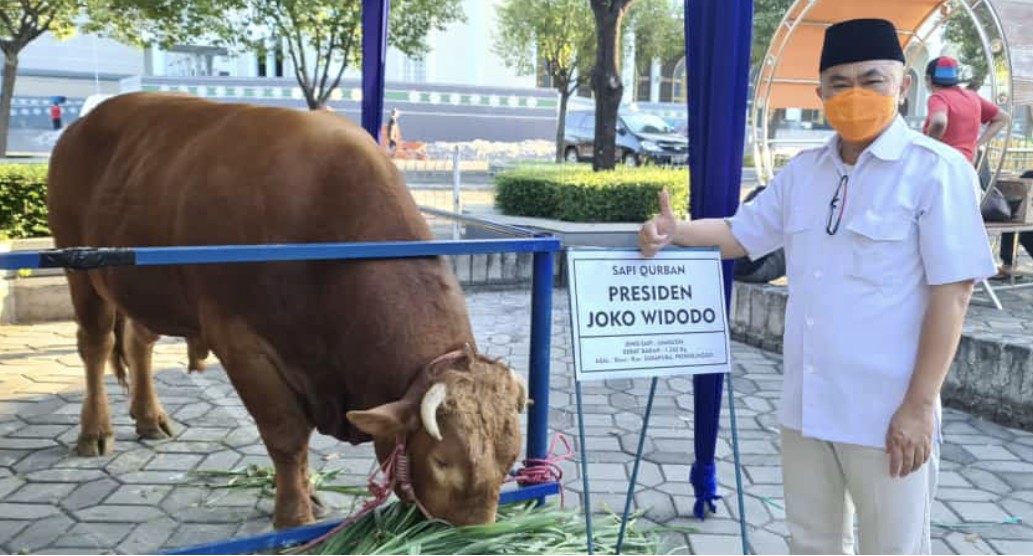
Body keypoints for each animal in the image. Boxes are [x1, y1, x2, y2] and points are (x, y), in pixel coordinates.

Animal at [47, 91, 528, 527]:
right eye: (443, 461)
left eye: (512, 458)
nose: (476, 535)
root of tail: (83, 123)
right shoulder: (242, 345)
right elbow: (287, 436)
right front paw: (294, 515)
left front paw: (309, 493)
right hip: (78, 266)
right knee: (95, 344)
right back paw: (94, 432)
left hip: (147, 286)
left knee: (138, 340)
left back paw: (149, 418)